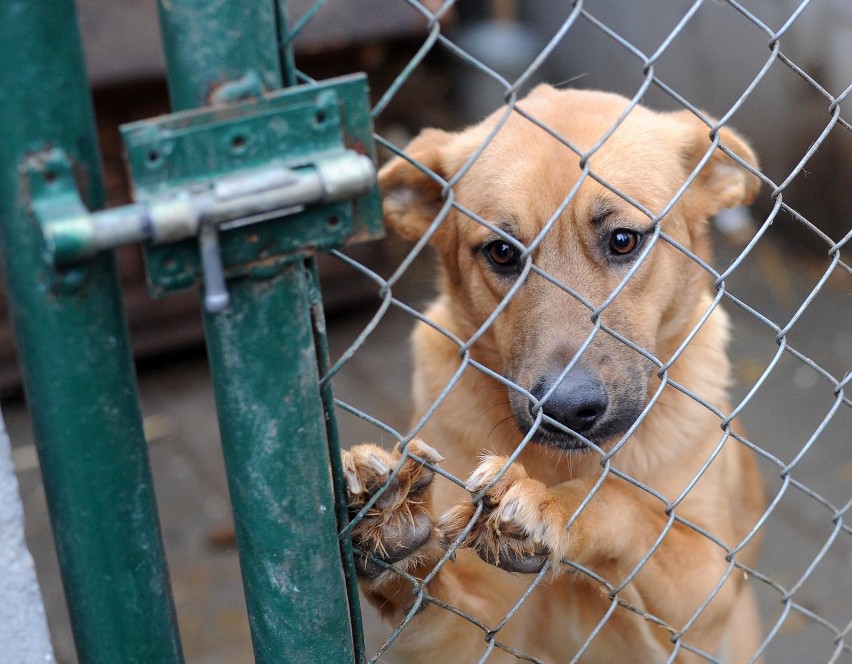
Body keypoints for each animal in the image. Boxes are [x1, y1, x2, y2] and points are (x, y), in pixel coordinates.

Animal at [342, 85, 768, 660]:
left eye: (624, 240)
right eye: (502, 252)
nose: (566, 410)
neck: (568, 461)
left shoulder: (705, 590)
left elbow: (618, 500)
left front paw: (553, 505)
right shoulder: (466, 636)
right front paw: (391, 521)